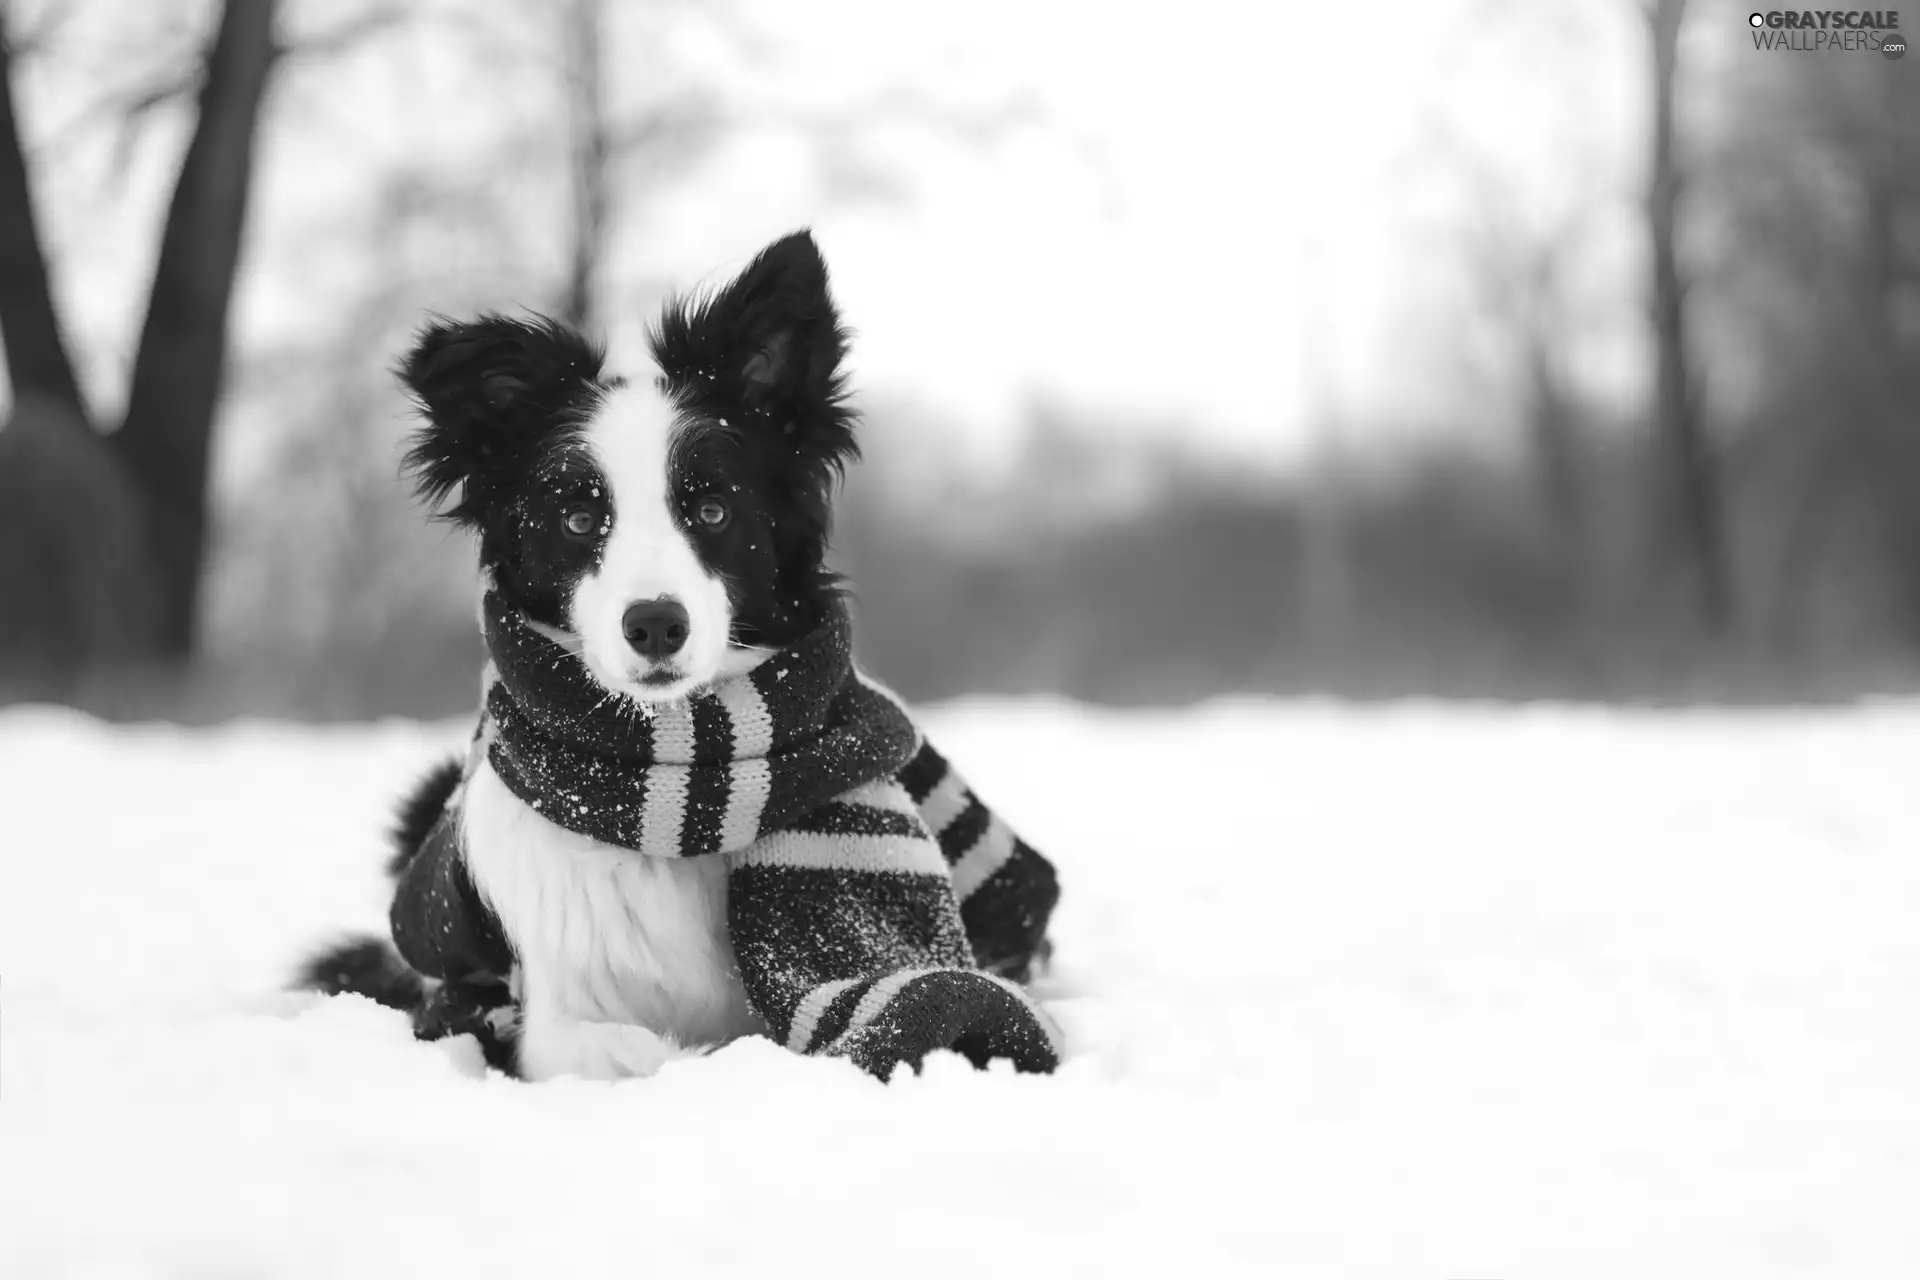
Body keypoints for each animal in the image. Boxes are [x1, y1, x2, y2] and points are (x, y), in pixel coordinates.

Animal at [309, 233, 1075, 1082]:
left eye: (711, 509)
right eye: (579, 519)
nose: (654, 625)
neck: (676, 786)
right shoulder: (552, 1025)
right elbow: (640, 1051)